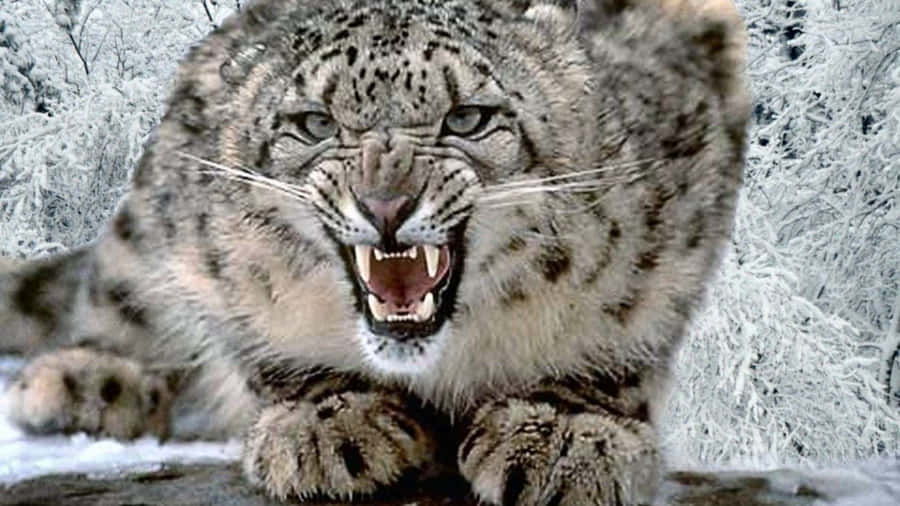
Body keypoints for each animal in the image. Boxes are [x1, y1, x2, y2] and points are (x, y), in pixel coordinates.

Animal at [0, 0, 750, 504]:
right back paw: (86, 380)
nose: (386, 205)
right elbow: (251, 331)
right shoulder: (206, 235)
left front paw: (563, 431)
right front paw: (329, 424)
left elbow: (633, 315)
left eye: (467, 117)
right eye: (315, 123)